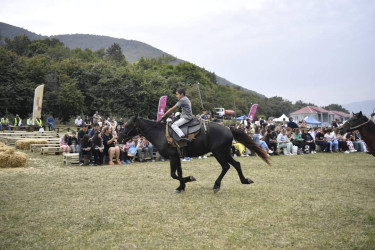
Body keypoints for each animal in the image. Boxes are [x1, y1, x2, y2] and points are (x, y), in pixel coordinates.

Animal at [119, 116, 270, 192]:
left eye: (128, 125)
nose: (119, 138)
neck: (161, 133)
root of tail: (228, 128)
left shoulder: (173, 157)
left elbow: (173, 174)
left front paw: (189, 179)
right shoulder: (177, 157)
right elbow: (178, 173)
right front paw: (181, 187)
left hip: (218, 152)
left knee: (226, 166)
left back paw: (216, 185)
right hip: (225, 152)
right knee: (236, 164)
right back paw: (245, 180)